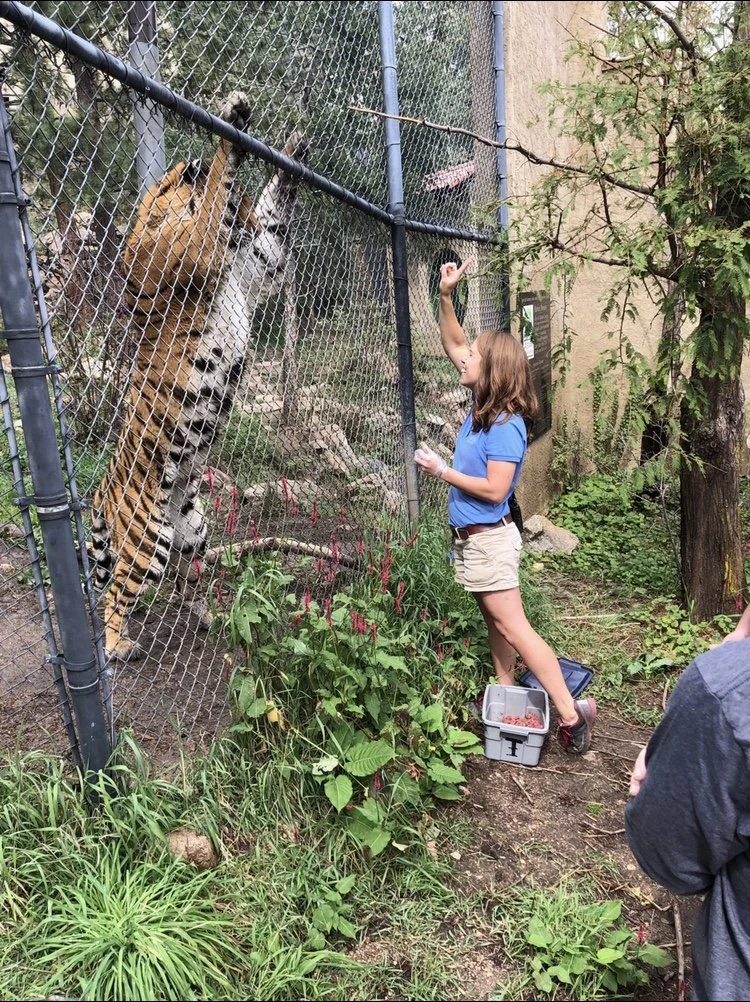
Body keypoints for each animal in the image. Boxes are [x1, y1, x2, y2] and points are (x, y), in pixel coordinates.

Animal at [91, 92, 306, 661]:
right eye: (166, 182)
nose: (188, 165)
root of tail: (102, 490)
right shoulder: (200, 245)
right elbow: (216, 201)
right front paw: (230, 126)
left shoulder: (260, 264)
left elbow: (269, 216)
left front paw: (291, 151)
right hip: (147, 541)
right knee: (115, 593)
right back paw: (118, 644)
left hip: (195, 528)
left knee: (187, 576)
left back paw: (205, 613)